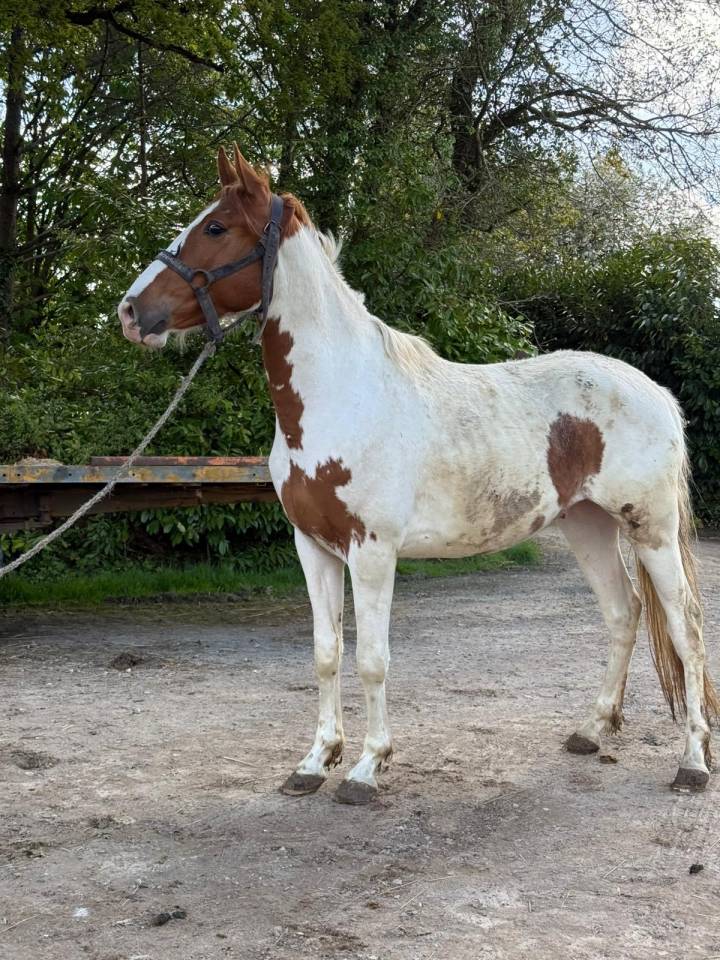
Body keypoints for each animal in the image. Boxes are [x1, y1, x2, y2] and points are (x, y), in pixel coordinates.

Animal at [118, 144, 718, 804]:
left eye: (216, 228)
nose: (130, 312)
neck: (342, 396)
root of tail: (657, 394)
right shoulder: (313, 546)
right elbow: (326, 653)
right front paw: (315, 761)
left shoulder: (373, 550)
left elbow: (372, 659)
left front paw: (366, 767)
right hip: (586, 525)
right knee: (623, 613)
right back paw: (590, 731)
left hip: (652, 530)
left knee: (687, 630)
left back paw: (692, 762)